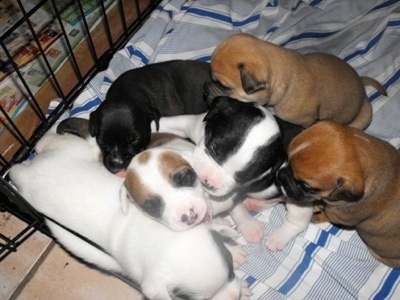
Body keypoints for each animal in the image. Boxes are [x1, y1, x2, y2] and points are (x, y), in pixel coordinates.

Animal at [9, 133, 250, 300]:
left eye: (231, 270)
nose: (234, 297)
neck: (158, 238)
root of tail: (32, 169)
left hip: (71, 149)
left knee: (48, 141)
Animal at [153, 96, 312, 251]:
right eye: (213, 148)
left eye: (243, 176)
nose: (207, 182)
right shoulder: (194, 124)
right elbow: (172, 122)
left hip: (297, 200)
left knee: (297, 221)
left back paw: (277, 238)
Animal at [276, 120, 400, 268]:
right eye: (287, 157)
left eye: (307, 186)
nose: (279, 175)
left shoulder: (337, 215)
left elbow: (325, 214)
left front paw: (315, 214)